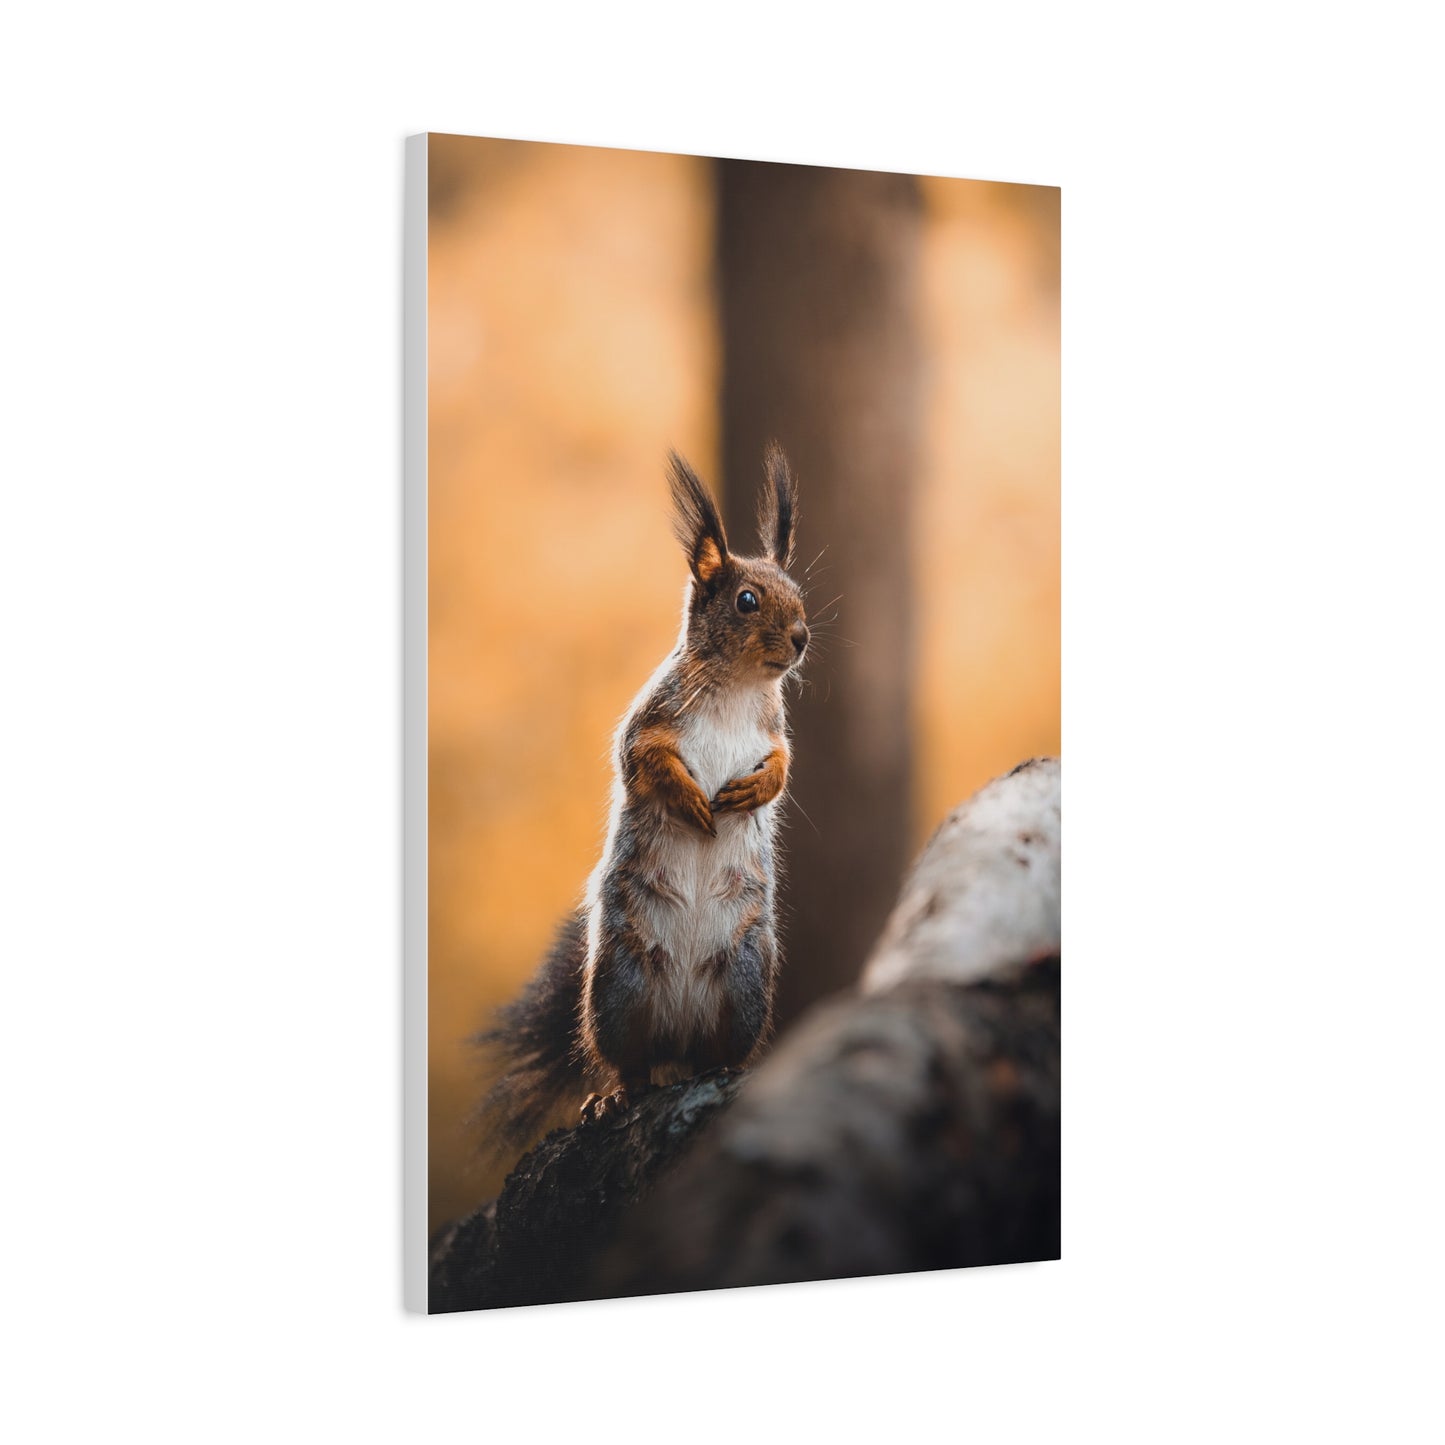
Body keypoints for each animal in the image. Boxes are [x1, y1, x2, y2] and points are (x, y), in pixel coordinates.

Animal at [475, 445, 809, 1154]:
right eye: (746, 600)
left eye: (800, 595)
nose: (801, 638)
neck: (740, 687)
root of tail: (678, 1034)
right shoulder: (650, 721)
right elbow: (644, 762)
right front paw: (692, 801)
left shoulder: (774, 732)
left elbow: (782, 769)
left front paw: (752, 789)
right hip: (618, 990)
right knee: (631, 1063)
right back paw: (614, 1096)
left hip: (745, 983)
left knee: (716, 1054)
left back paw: (720, 1069)